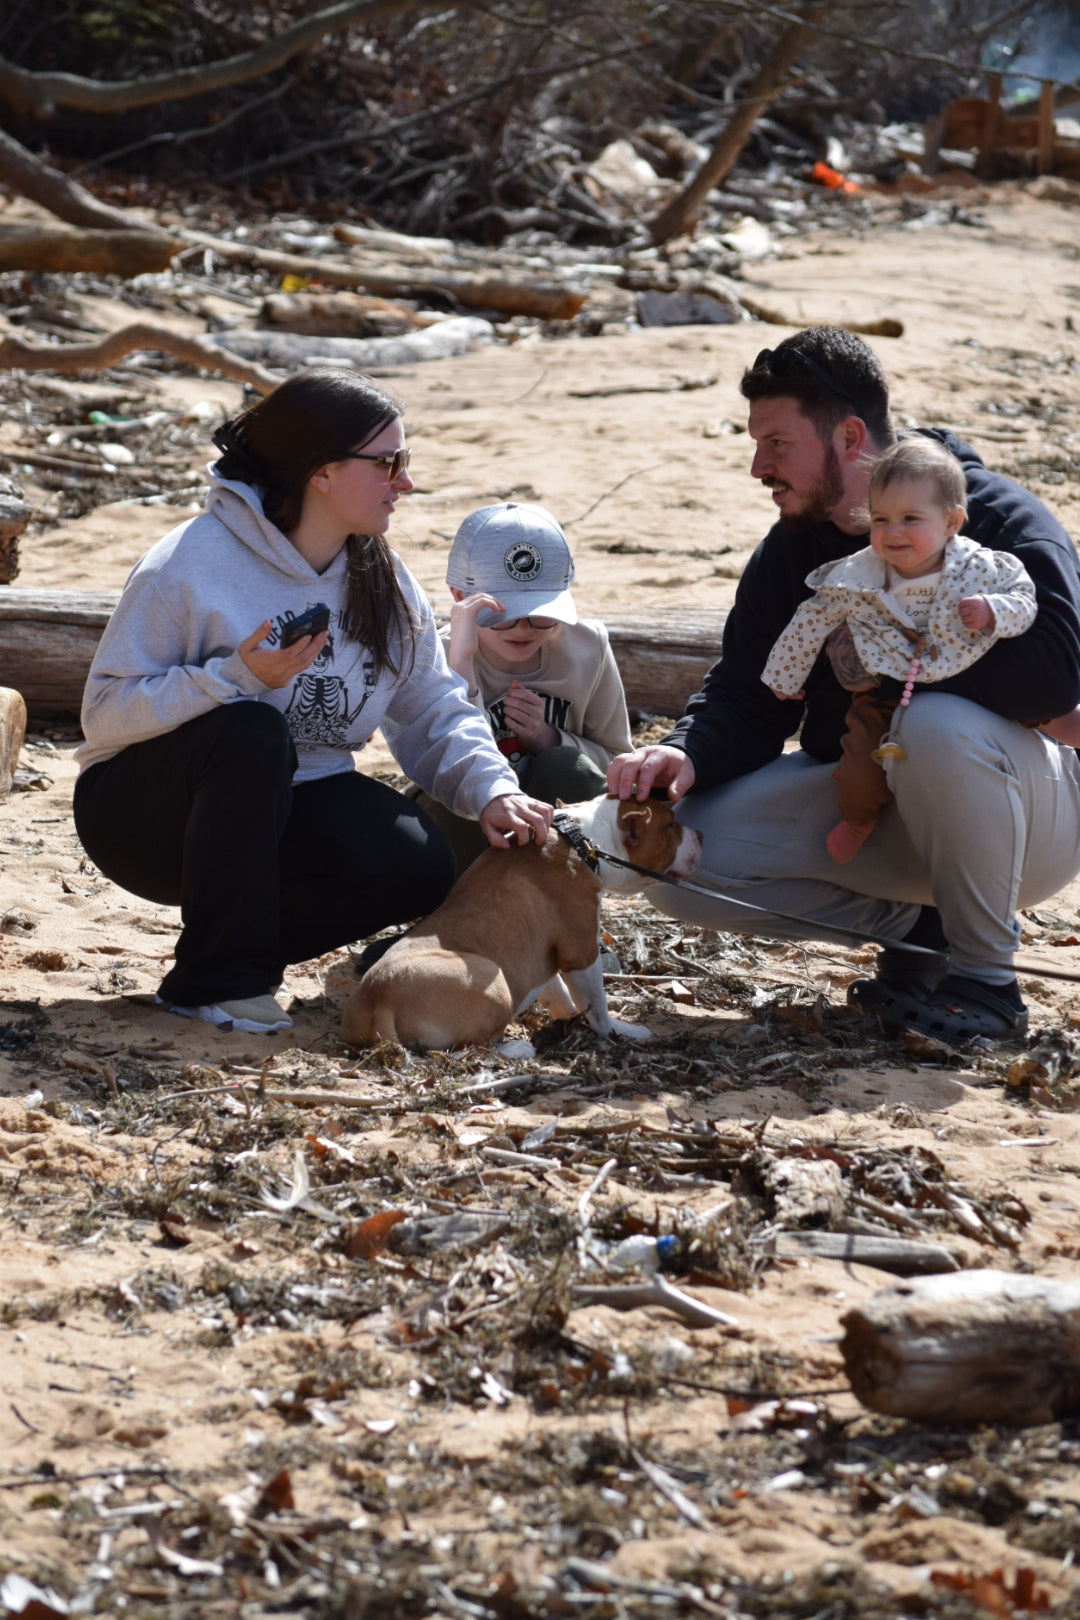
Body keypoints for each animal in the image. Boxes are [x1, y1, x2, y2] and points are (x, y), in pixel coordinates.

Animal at [341, 793, 705, 1049]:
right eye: (671, 824)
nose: (701, 835)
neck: (581, 839)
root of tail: (379, 1003)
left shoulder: (543, 960)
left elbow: (558, 993)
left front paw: (569, 1020)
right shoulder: (580, 951)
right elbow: (596, 1003)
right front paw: (617, 1030)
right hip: (491, 977)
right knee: (473, 1048)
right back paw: (518, 1050)